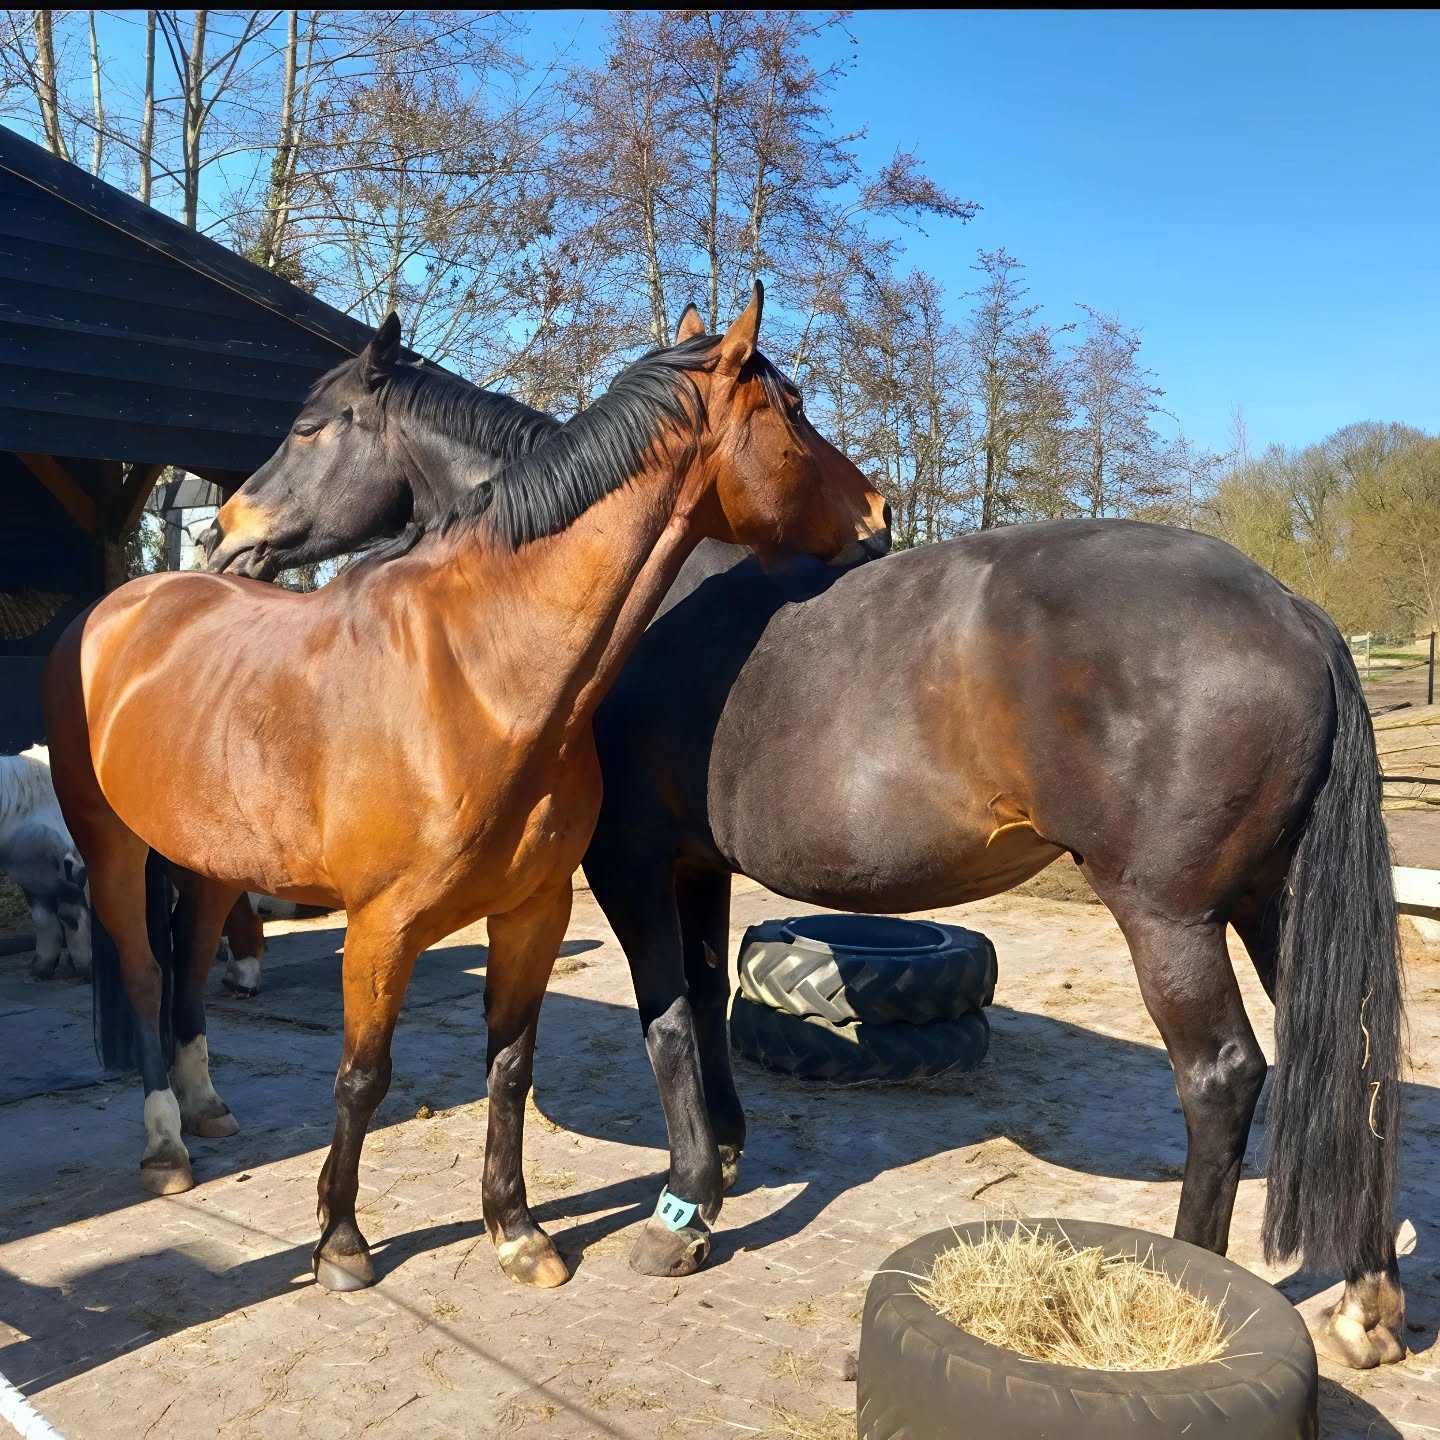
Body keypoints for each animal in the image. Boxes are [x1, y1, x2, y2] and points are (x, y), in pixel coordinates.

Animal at [43, 286, 890, 1293]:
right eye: (793, 411)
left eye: (307, 427)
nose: (880, 512)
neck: (480, 672)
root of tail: (113, 610)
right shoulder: (380, 928)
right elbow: (363, 1077)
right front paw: (341, 1244)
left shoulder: (534, 911)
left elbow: (510, 1067)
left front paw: (516, 1230)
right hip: (111, 850)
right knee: (141, 972)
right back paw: (166, 1145)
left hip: (213, 860)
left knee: (191, 958)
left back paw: (204, 1103)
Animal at [202, 314, 1407, 1369]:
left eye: (308, 425)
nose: (225, 534)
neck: (601, 601)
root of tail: (1294, 611)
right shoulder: (696, 869)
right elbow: (703, 1012)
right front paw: (721, 1160)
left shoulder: (627, 866)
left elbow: (665, 1023)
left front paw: (682, 1211)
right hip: (1269, 898)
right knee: (1359, 1058)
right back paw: (1367, 1301)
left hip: (1170, 914)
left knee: (1221, 1076)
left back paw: (1192, 1291)